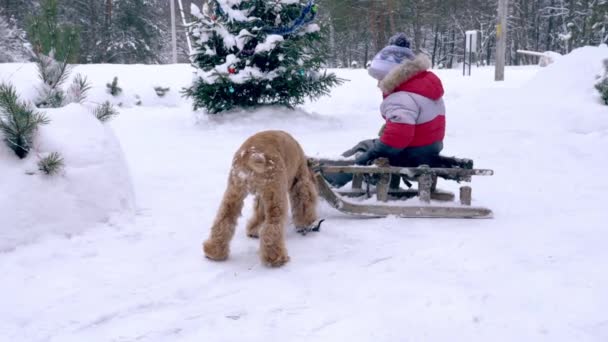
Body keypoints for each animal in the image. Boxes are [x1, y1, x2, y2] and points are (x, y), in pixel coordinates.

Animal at [202, 130, 320, 266]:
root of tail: (251, 156)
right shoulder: (299, 182)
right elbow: (304, 201)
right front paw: (307, 222)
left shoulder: (262, 194)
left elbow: (259, 212)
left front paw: (253, 230)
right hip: (276, 194)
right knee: (272, 227)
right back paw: (276, 258)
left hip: (235, 191)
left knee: (224, 218)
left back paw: (213, 251)